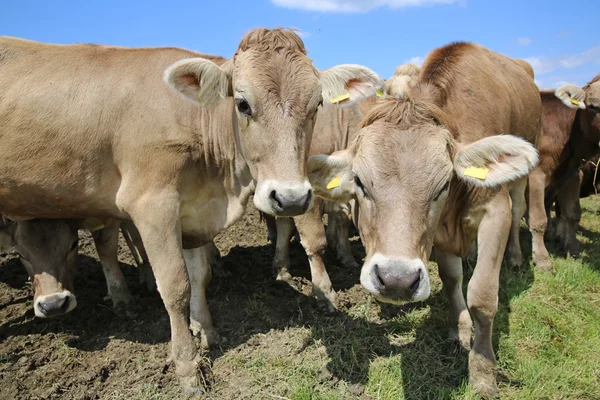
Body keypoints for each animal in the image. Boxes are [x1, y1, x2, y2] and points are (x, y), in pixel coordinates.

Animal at [0, 28, 384, 390]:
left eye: (317, 104)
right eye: (242, 104)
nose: (290, 198)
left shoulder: (195, 212)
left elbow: (200, 274)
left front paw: (207, 331)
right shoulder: (151, 205)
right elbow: (175, 286)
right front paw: (187, 365)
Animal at [310, 42, 540, 396]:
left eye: (443, 184)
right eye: (359, 182)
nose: (396, 280)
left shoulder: (495, 212)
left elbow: (482, 297)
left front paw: (483, 373)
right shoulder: (439, 233)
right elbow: (452, 279)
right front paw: (459, 330)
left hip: (520, 178)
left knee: (518, 212)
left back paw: (515, 256)